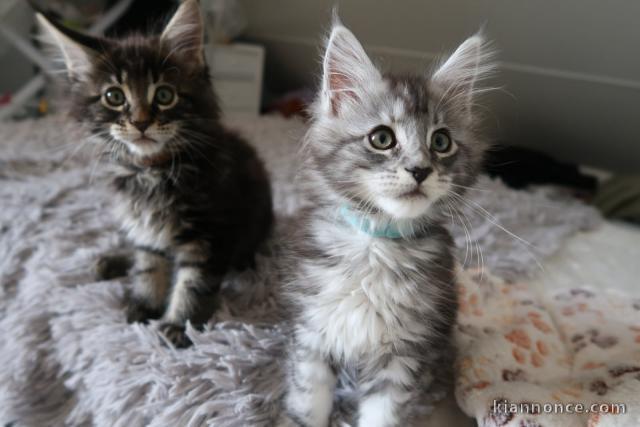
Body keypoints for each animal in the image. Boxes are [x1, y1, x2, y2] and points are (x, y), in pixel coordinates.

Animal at [37, 0, 272, 348]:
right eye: (114, 96)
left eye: (164, 95)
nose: (140, 122)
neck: (151, 172)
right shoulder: (144, 226)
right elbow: (148, 265)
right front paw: (146, 304)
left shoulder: (210, 233)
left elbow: (193, 282)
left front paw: (179, 325)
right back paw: (113, 261)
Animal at [282, 18, 498, 426]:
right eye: (382, 138)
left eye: (441, 142)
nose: (420, 170)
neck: (377, 244)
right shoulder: (314, 332)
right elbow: (307, 402)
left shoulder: (405, 354)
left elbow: (383, 414)